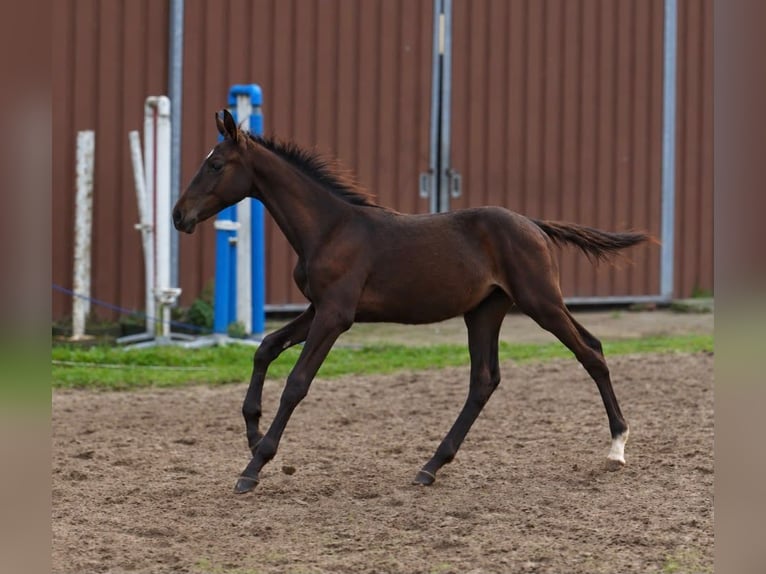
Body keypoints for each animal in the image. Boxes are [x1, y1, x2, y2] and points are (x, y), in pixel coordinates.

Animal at [173, 109, 652, 494]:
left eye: (215, 164)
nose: (179, 215)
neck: (330, 228)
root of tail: (533, 224)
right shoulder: (317, 309)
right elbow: (265, 347)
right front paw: (253, 433)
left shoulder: (335, 315)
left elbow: (296, 383)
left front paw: (254, 466)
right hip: (486, 311)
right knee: (486, 379)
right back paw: (430, 466)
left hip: (540, 302)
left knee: (590, 353)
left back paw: (617, 447)